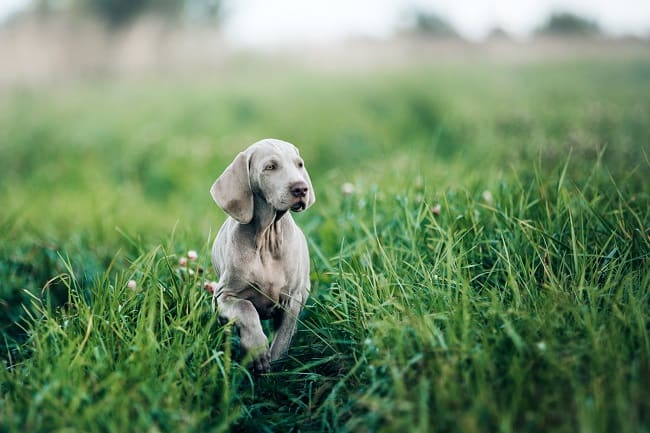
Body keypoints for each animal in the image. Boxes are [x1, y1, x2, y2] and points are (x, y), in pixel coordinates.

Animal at [210, 138, 314, 372]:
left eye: (299, 164)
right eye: (270, 167)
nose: (301, 188)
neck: (267, 238)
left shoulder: (292, 298)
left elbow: (283, 337)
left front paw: (275, 368)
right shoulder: (224, 295)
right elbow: (246, 308)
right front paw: (257, 351)